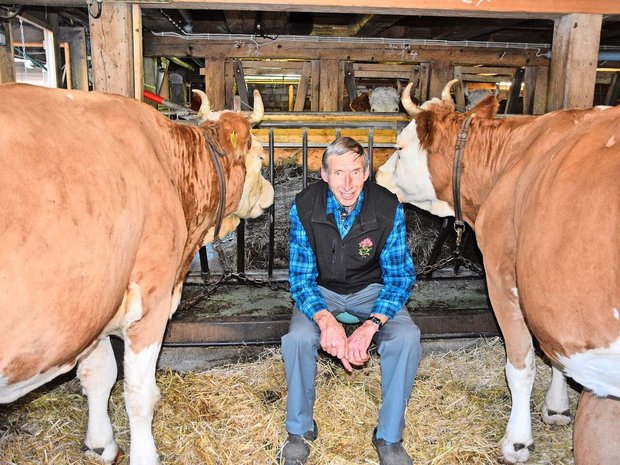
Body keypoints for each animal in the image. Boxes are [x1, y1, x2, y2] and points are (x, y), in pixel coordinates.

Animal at [0, 84, 274, 464]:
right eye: (261, 156)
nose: (271, 195)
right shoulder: (149, 303)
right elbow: (138, 393)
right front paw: (144, 454)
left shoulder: (96, 308)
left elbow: (98, 374)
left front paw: (100, 442)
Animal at [376, 80, 620, 464]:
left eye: (400, 147)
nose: (377, 175)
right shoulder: (549, 301)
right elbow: (555, 355)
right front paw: (557, 408)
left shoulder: (503, 277)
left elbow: (521, 363)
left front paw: (517, 441)